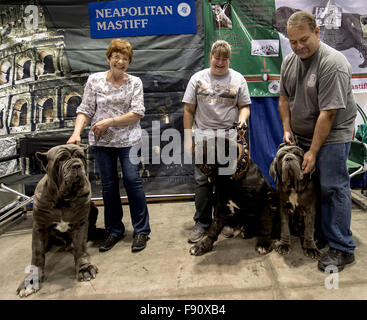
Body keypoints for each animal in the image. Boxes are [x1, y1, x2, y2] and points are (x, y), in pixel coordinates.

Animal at [16, 144, 98, 296]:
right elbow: (37, 254)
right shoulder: (39, 227)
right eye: (61, 159)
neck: (62, 199)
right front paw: (31, 280)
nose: (77, 165)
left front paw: (84, 268)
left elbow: (81, 248)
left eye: (80, 156)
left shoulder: (80, 224)